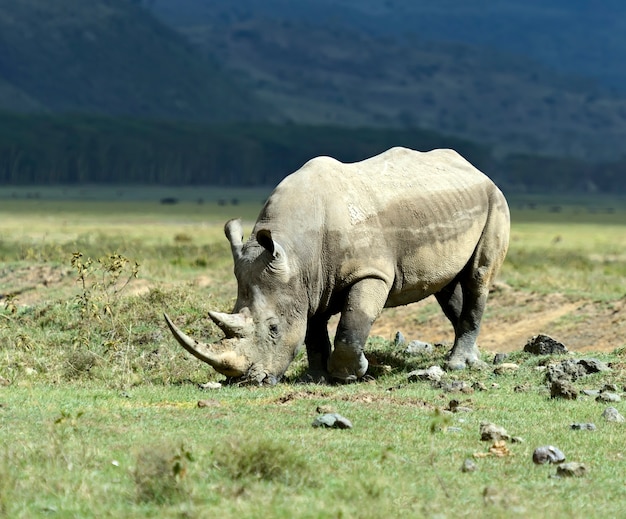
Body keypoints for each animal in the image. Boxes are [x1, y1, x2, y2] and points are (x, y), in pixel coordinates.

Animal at [165, 146, 508, 386]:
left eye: (273, 329)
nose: (248, 380)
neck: (295, 249)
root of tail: (476, 170)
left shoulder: (370, 272)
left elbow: (351, 325)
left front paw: (352, 373)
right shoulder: (308, 283)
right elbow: (313, 333)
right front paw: (314, 378)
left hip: (495, 200)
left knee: (477, 277)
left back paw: (457, 364)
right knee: (446, 289)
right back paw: (465, 356)